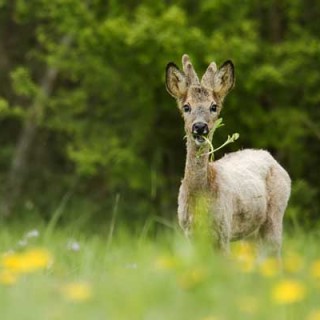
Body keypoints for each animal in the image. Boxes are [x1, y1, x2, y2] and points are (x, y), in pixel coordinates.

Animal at [166, 53, 292, 258]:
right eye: (186, 107)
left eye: (213, 106)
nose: (199, 127)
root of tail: (271, 158)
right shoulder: (189, 232)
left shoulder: (223, 228)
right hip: (251, 232)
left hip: (276, 213)